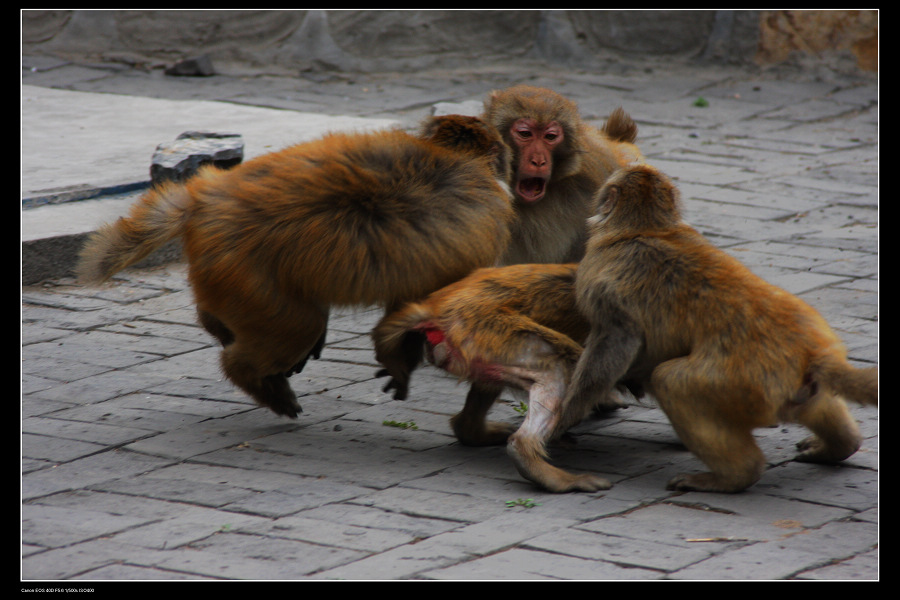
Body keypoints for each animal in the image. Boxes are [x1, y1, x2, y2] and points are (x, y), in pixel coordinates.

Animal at [77, 116, 512, 418]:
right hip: (244, 272)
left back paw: (217, 326)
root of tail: (204, 198)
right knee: (297, 326)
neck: (457, 158)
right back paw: (251, 374)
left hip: (223, 270)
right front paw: (400, 363)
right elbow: (417, 303)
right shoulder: (481, 233)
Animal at [506, 162, 880, 494]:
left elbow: (616, 343)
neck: (647, 227)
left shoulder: (599, 281)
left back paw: (733, 477)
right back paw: (840, 446)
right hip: (801, 383)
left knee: (671, 381)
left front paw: (564, 417)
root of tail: (812, 353)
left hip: (741, 382)